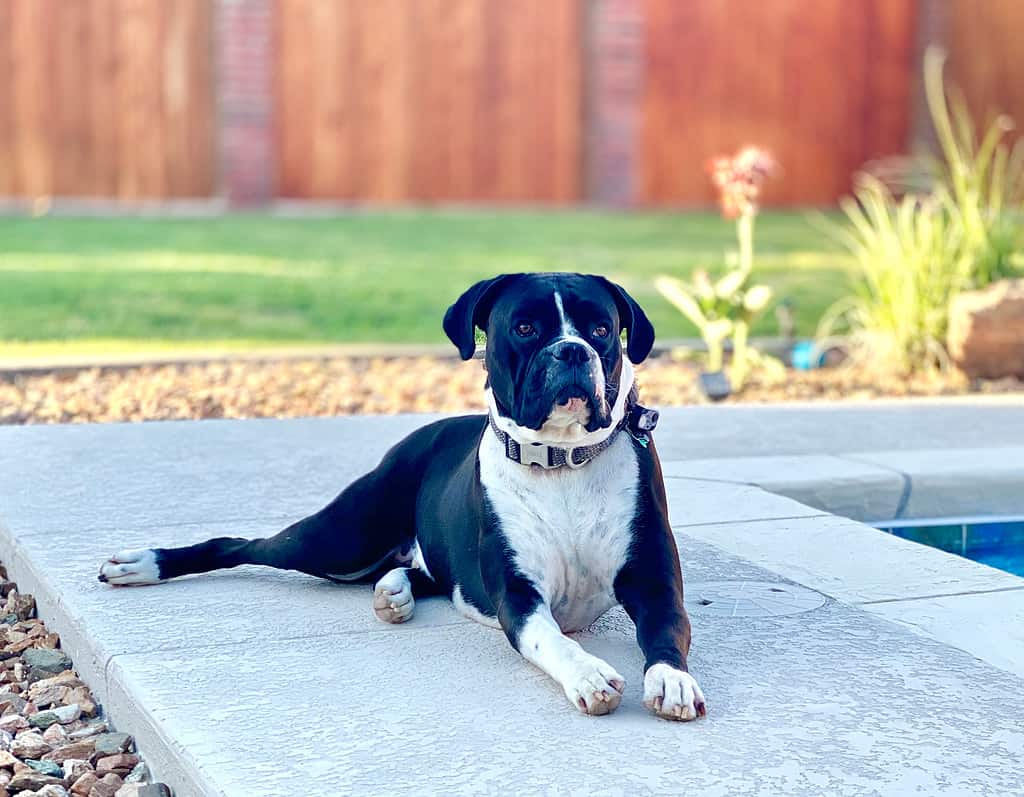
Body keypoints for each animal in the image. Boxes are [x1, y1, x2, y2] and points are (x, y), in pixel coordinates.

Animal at [97, 272, 704, 721]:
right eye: (526, 327)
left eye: (602, 329)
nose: (572, 351)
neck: (562, 463)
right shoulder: (518, 596)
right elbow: (552, 640)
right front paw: (588, 673)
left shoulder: (653, 582)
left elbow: (666, 629)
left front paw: (671, 680)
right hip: (338, 539)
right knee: (240, 544)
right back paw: (144, 564)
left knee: (426, 572)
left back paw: (395, 590)